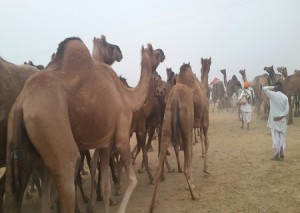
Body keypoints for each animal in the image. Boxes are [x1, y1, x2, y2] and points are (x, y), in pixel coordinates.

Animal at [3, 37, 165, 213]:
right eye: (156, 53)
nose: (163, 54)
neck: (128, 97)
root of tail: (22, 103)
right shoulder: (122, 132)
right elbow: (132, 180)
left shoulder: (105, 143)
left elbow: (106, 185)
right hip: (53, 130)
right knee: (68, 170)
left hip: (27, 148)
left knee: (40, 198)